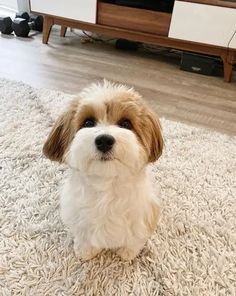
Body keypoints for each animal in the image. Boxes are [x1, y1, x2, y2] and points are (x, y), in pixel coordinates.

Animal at [43, 81, 163, 262]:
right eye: (88, 122)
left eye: (126, 124)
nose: (104, 140)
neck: (107, 185)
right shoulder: (79, 218)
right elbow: (84, 237)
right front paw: (85, 251)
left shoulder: (144, 216)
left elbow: (134, 240)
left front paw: (127, 252)